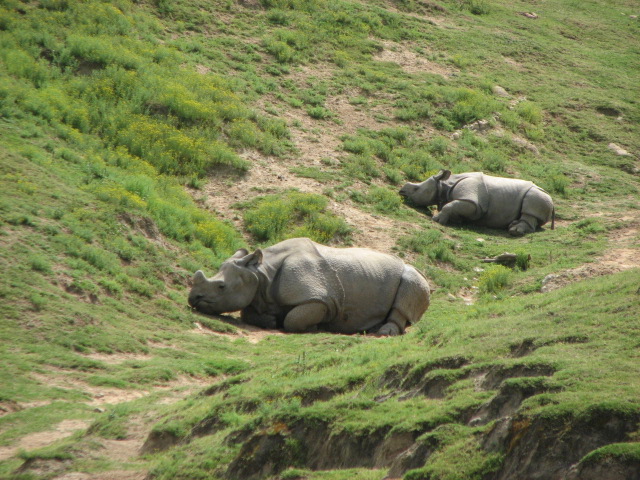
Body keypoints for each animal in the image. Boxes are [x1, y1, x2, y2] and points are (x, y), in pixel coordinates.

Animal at [188, 238, 430, 336]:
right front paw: (270, 320)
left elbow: (293, 319)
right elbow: (247, 312)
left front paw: (314, 327)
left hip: (414, 274)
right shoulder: (258, 292)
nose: (193, 299)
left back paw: (383, 333)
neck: (261, 272)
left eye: (221, 287)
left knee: (410, 285)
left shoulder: (320, 299)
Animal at [399, 170, 554, 236]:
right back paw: (512, 226)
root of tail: (553, 201)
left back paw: (514, 231)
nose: (401, 191)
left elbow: (452, 205)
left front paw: (437, 219)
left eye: (416, 189)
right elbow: (454, 207)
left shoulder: (472, 202)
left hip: (539, 195)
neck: (444, 185)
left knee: (531, 206)